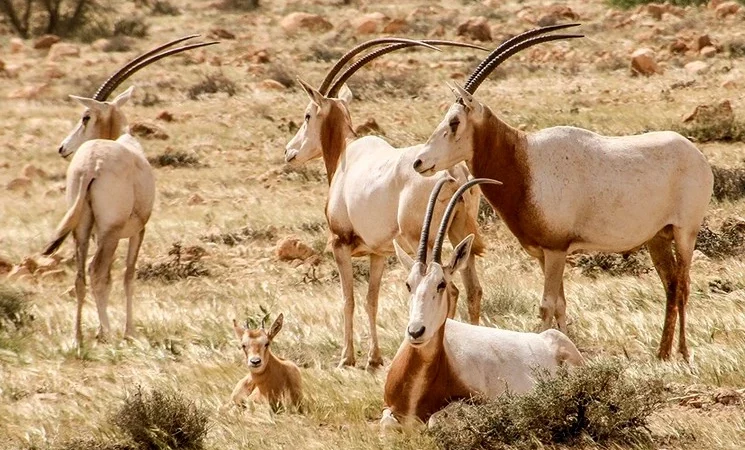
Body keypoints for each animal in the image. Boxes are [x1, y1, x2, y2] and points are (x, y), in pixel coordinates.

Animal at [43, 35, 218, 348]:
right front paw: (129, 331)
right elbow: (128, 274)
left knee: (80, 276)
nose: (62, 148)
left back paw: (78, 337)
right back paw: (108, 333)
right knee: (97, 272)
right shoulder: (138, 230)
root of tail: (91, 163)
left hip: (82, 229)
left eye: (85, 117)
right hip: (110, 232)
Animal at [285, 38, 489, 370]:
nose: (289, 152)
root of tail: (454, 173)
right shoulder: (378, 253)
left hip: (422, 239)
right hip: (460, 232)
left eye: (307, 115)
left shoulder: (339, 243)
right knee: (473, 290)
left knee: (453, 288)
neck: (347, 155)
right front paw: (374, 357)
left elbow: (349, 299)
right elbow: (372, 299)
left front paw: (347, 358)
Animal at [382, 178, 584, 428]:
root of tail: (547, 336)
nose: (416, 331)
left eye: (441, 284)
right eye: (408, 284)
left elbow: (434, 420)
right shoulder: (387, 409)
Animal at [412, 25, 714, 361]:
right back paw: (662, 354)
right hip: (657, 237)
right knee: (671, 284)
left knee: (684, 283)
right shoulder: (544, 253)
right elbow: (560, 305)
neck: (524, 160)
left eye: (454, 121)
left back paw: (683, 353)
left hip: (685, 233)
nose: (420, 161)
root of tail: (697, 156)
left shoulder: (556, 249)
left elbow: (547, 305)